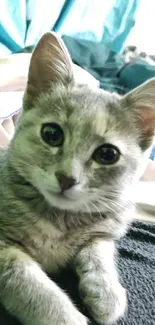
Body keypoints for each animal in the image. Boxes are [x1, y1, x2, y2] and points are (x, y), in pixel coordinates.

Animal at [0, 32, 155, 324]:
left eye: (107, 154)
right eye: (51, 134)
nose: (66, 178)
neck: (60, 219)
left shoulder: (107, 226)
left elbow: (100, 248)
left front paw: (106, 289)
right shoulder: (3, 250)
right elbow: (31, 284)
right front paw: (67, 315)